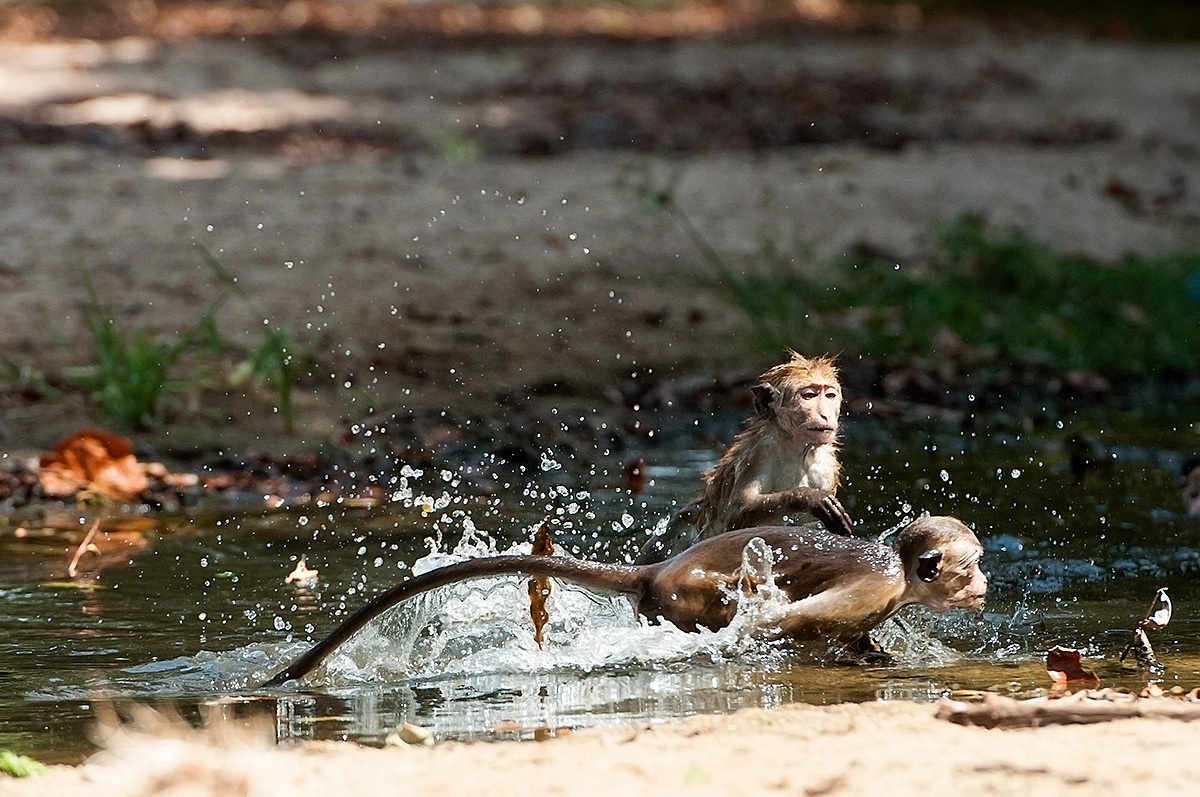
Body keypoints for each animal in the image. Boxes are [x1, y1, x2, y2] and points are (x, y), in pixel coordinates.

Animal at [634, 352, 853, 565]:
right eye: (809, 395)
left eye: (830, 395)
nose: (825, 415)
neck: (798, 448)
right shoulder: (760, 451)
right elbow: (737, 511)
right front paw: (809, 497)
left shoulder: (826, 470)